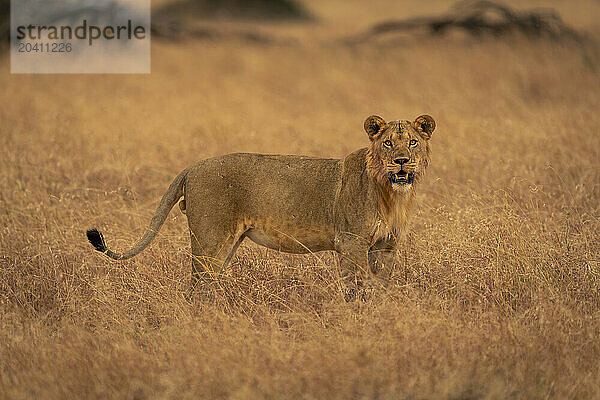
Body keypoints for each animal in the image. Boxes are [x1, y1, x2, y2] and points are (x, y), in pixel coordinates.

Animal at [86, 114, 436, 298]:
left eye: (412, 142)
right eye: (388, 143)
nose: (401, 161)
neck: (391, 194)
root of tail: (192, 167)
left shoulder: (388, 246)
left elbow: (381, 286)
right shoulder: (351, 242)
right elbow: (357, 285)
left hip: (226, 243)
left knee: (208, 282)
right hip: (210, 238)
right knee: (197, 284)